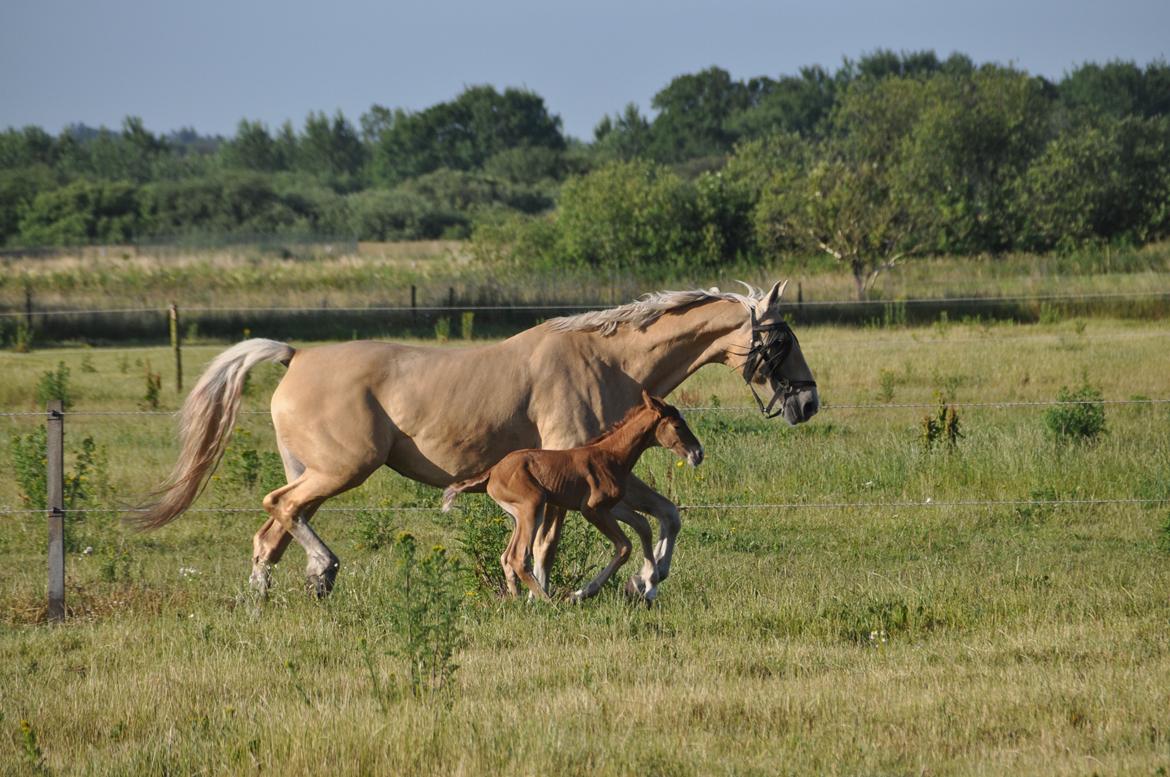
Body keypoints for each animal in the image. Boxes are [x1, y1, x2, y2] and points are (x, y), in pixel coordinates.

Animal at [442, 390, 702, 603]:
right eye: (677, 426)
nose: (698, 453)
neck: (611, 455)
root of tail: (493, 471)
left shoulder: (612, 507)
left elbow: (643, 526)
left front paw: (647, 584)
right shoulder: (592, 509)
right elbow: (624, 546)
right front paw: (581, 594)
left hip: (521, 514)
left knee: (506, 556)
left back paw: (517, 600)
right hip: (533, 505)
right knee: (518, 556)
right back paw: (548, 602)